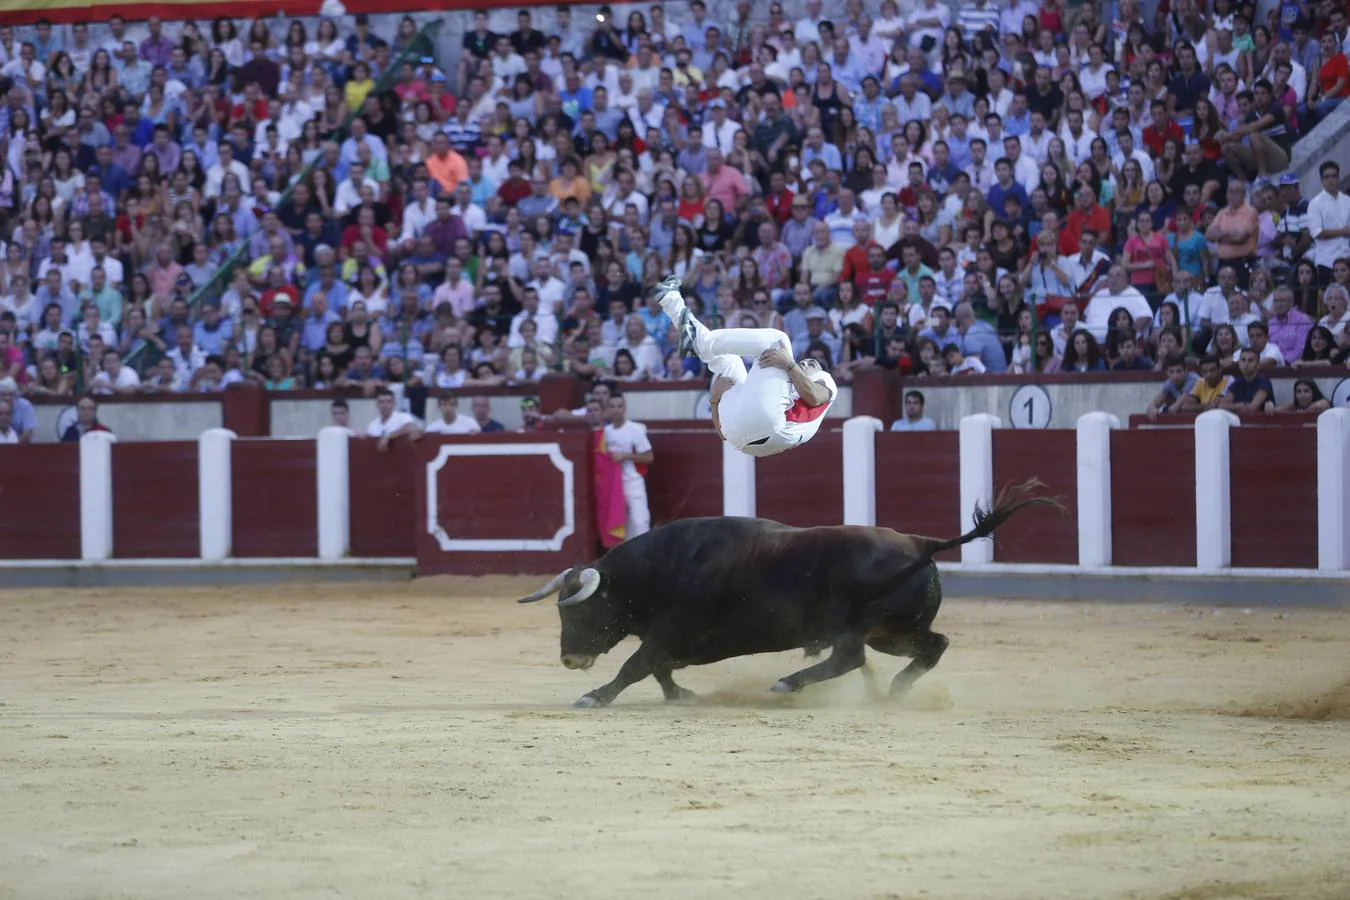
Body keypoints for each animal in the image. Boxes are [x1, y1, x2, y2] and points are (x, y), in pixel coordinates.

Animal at [515, 483, 1053, 707]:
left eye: (581, 614)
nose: (569, 660)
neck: (663, 569)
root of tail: (922, 543)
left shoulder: (671, 630)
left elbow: (637, 664)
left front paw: (594, 696)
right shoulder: (672, 639)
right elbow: (659, 668)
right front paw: (681, 695)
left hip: (853, 624)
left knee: (849, 657)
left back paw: (788, 684)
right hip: (894, 631)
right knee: (931, 646)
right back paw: (896, 690)